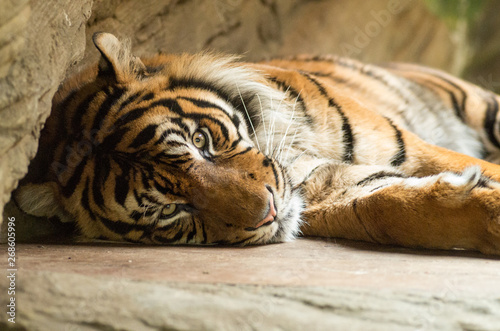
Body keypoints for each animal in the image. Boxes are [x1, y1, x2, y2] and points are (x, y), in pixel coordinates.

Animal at [13, 32, 500, 255]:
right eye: (169, 210)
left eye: (200, 140)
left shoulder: (413, 149)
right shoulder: (336, 191)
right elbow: (390, 207)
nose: (268, 211)